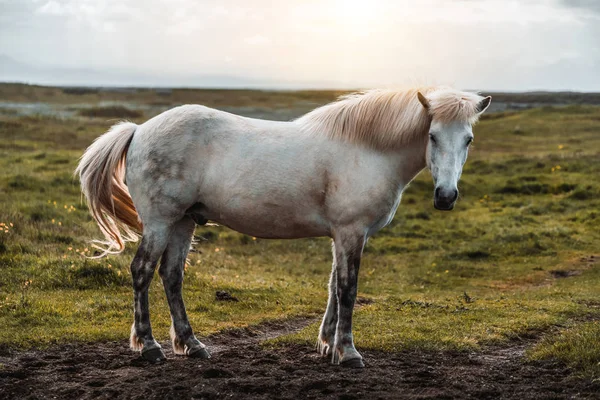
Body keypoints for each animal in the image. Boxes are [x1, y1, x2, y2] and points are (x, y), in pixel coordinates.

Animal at [76, 86, 492, 368]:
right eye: (432, 136)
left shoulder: (341, 235)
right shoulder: (351, 232)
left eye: (468, 139)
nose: (445, 197)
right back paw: (149, 346)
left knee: (171, 276)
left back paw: (192, 344)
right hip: (161, 222)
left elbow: (333, 285)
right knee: (142, 271)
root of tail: (139, 129)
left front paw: (326, 345)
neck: (368, 150)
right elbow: (348, 289)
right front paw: (348, 352)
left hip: (183, 223)